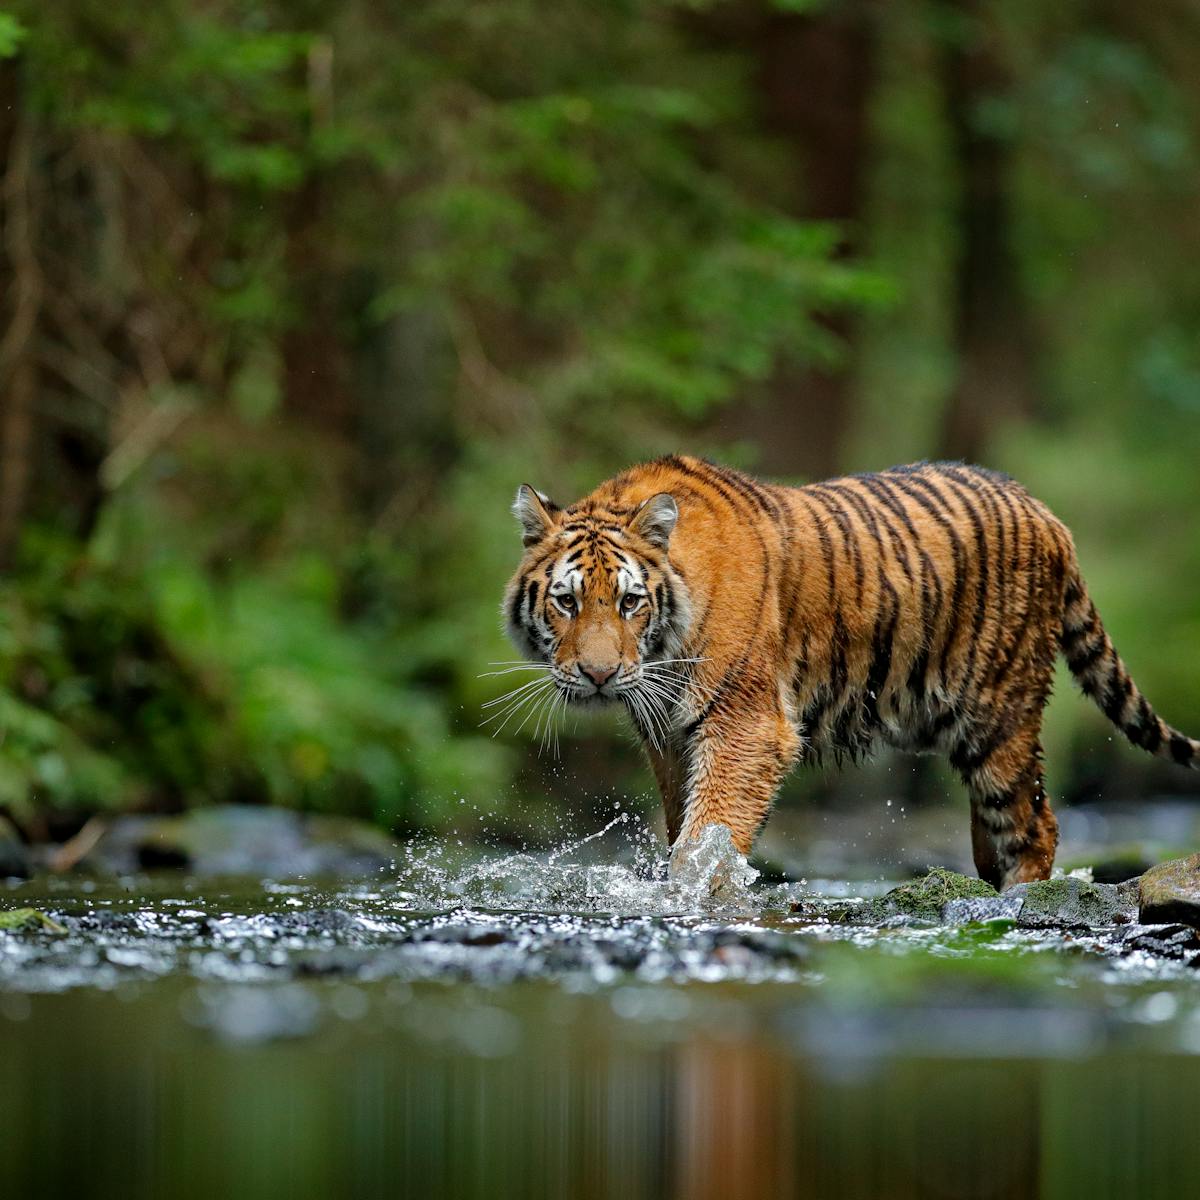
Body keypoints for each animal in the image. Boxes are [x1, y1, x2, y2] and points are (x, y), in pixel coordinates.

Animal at [501, 455, 1199, 889]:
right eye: (566, 601)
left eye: (628, 601)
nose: (597, 675)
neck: (664, 648)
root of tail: (1046, 512)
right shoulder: (670, 738)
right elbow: (683, 828)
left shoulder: (746, 725)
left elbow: (708, 834)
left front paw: (692, 894)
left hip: (1000, 715)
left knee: (1035, 826)